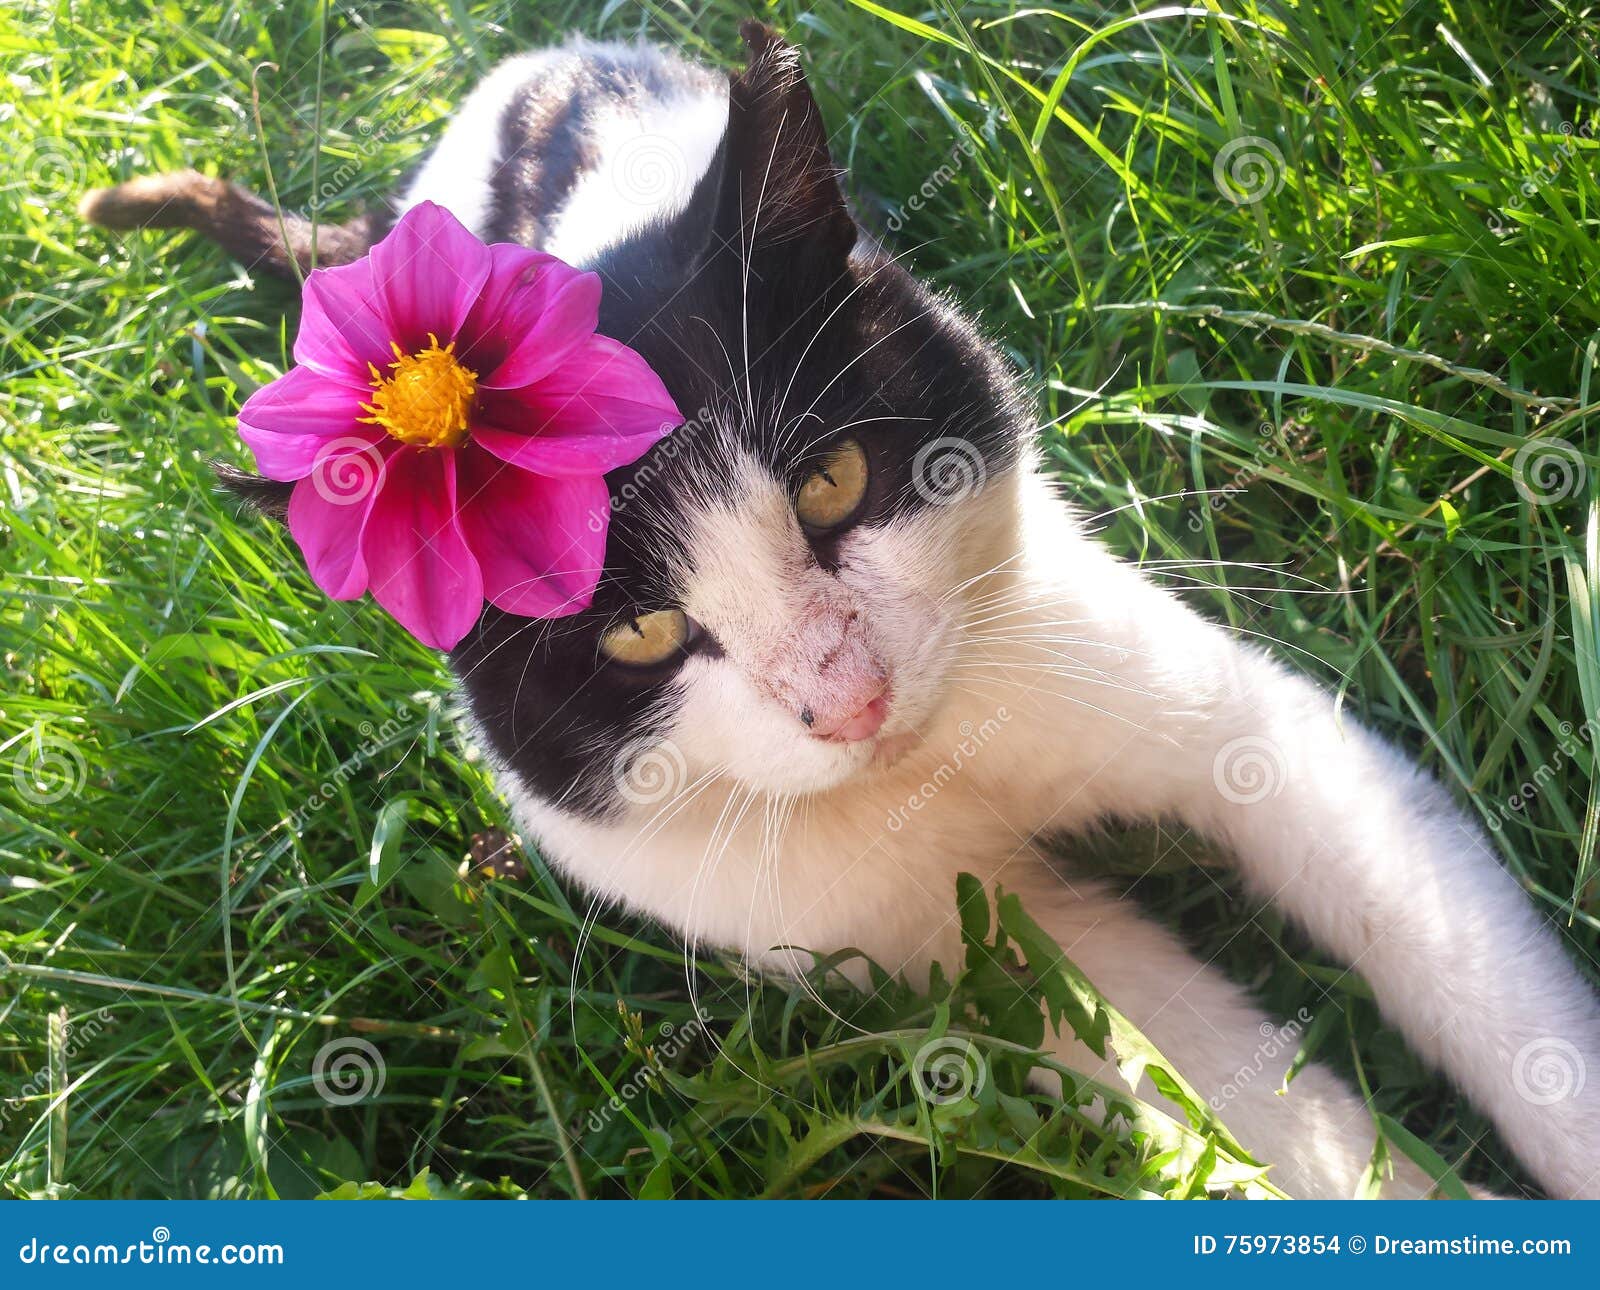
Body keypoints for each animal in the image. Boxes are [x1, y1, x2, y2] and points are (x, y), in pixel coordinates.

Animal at [81, 22, 1600, 1203]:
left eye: (833, 482)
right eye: (637, 635)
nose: (849, 702)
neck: (938, 768)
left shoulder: (1221, 714)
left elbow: (1444, 945)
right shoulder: (923, 940)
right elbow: (1187, 1068)